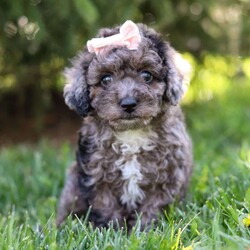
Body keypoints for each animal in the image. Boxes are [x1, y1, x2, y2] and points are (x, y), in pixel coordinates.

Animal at [57, 20, 193, 229]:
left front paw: (145, 230)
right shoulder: (97, 178)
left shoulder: (166, 176)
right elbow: (107, 206)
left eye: (147, 76)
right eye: (105, 79)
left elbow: (154, 205)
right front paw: (113, 230)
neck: (131, 133)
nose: (128, 104)